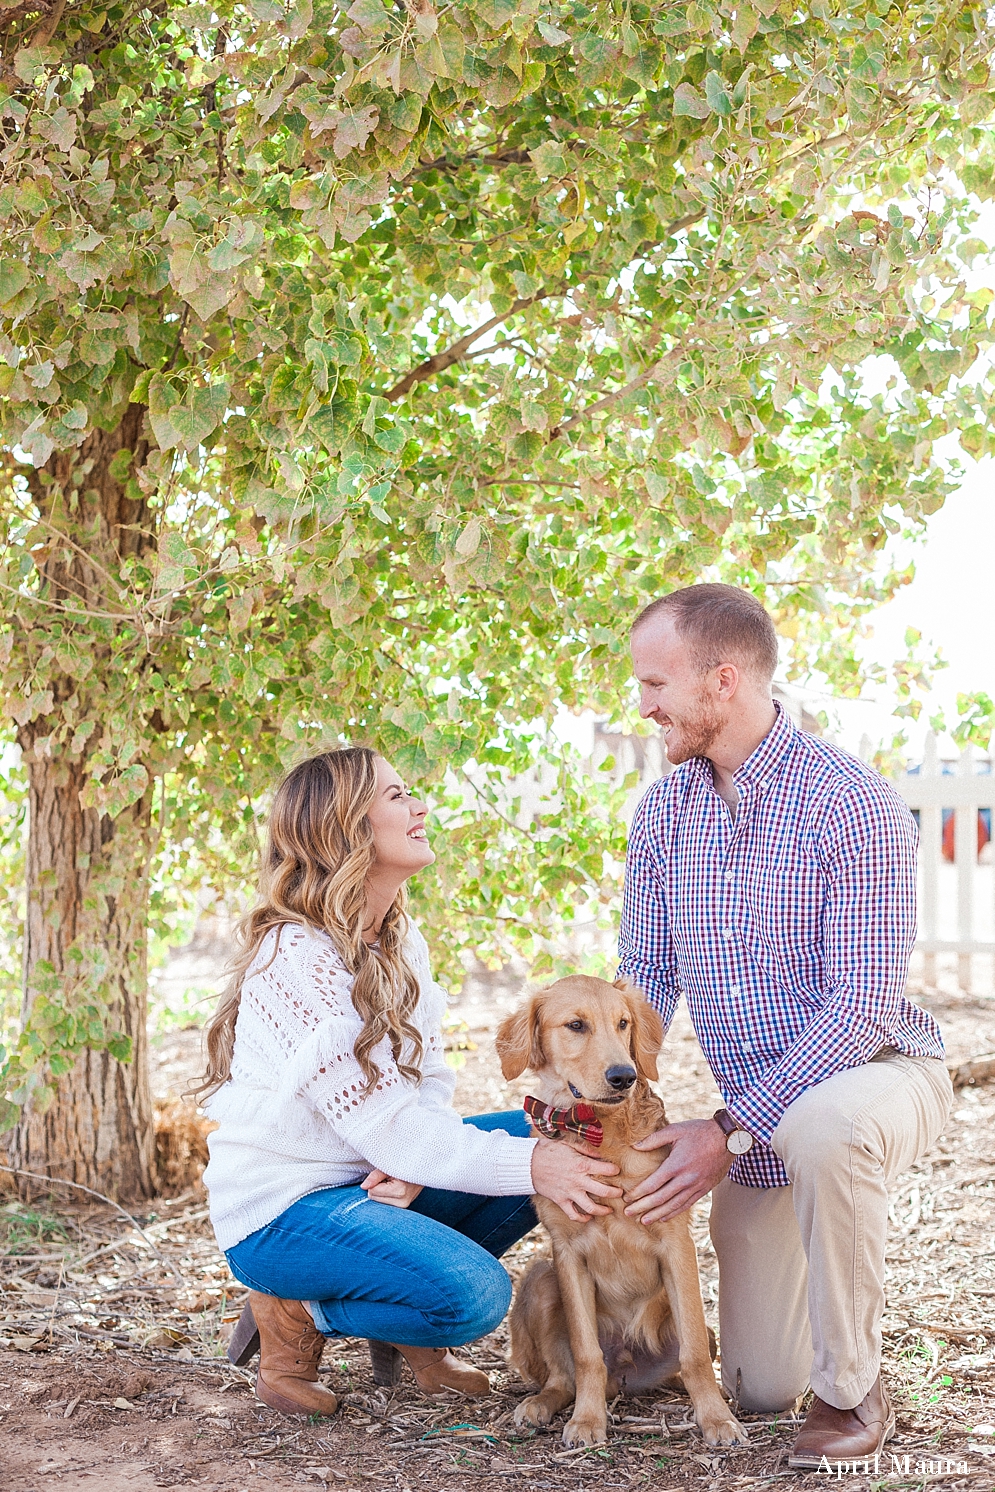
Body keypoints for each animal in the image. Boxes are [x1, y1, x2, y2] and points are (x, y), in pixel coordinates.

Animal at [498, 972, 745, 1450]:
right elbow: (585, 1353)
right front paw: (588, 1420)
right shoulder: (566, 1250)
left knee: (691, 1356)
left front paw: (716, 1419)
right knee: (563, 1377)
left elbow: (694, 1354)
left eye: (623, 1023)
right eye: (576, 1025)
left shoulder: (675, 1241)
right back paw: (541, 1404)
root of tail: (627, 1373)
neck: (598, 1130)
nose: (624, 1076)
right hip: (540, 1279)